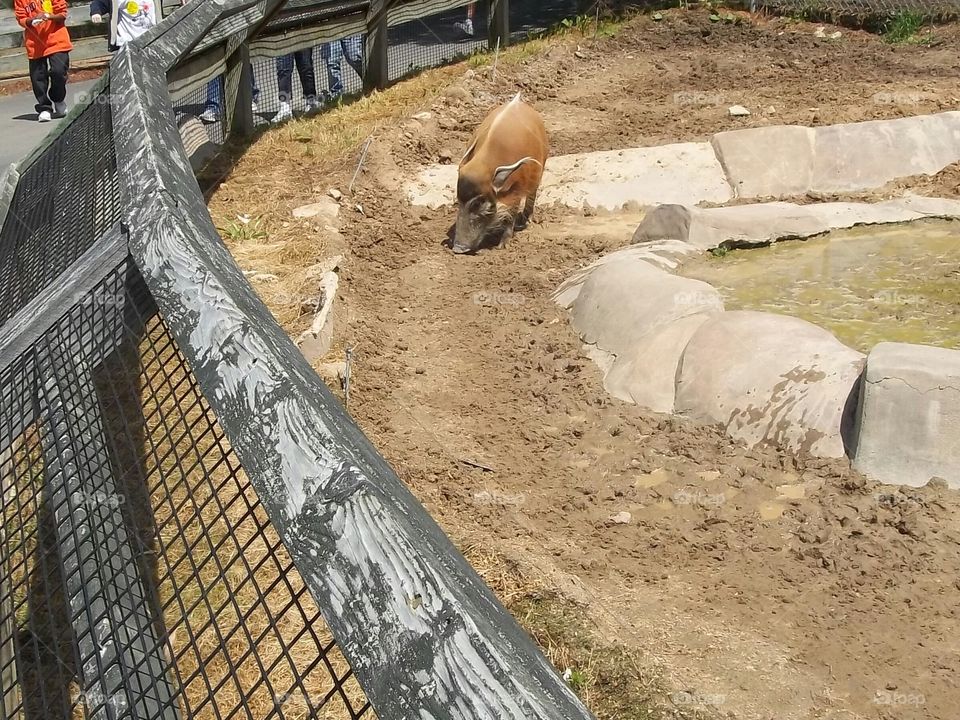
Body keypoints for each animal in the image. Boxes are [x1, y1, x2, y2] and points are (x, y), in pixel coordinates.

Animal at [450, 92, 548, 254]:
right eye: (459, 200)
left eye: (478, 203)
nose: (457, 248)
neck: (486, 165)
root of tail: (518, 102)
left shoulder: (516, 189)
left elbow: (511, 214)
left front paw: (502, 246)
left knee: (532, 194)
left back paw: (527, 220)